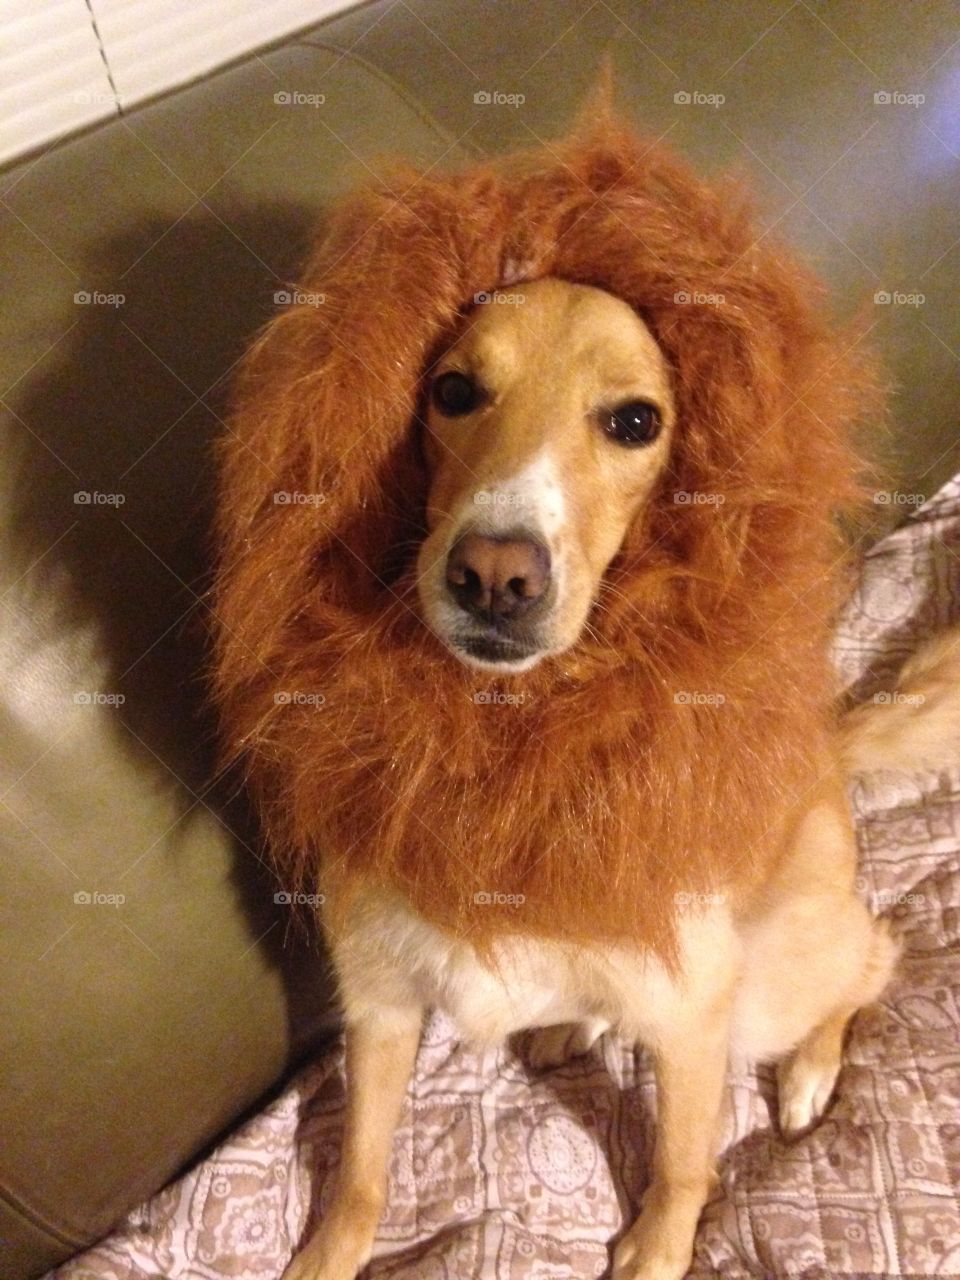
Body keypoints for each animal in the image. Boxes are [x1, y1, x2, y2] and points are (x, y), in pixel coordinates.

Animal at [212, 102, 911, 1280]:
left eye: (634, 421)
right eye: (452, 391)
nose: (495, 575)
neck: (514, 744)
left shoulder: (694, 1010)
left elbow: (683, 1164)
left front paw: (658, 1248)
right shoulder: (380, 999)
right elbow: (359, 1171)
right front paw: (324, 1255)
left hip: (777, 973)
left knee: (876, 959)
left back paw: (813, 1069)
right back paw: (567, 1022)